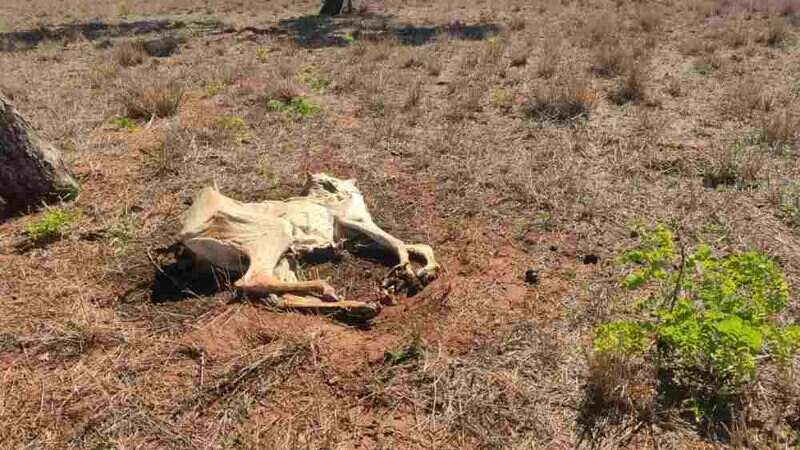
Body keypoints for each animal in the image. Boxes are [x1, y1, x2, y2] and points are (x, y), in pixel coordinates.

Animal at [175, 173, 440, 320]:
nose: (324, 183)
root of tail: (186, 236)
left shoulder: (353, 237)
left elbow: (418, 245)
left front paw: (425, 271)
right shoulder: (355, 221)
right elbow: (398, 243)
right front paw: (403, 273)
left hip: (283, 257)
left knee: (277, 295)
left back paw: (360, 307)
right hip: (277, 232)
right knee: (251, 281)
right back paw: (330, 289)